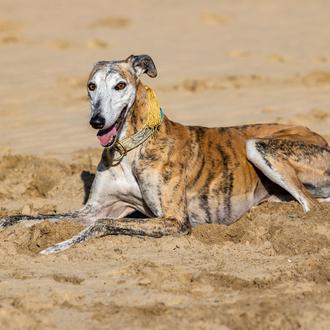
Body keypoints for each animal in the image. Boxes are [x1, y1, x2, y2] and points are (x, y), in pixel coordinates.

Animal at [0, 55, 330, 254]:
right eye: (91, 86)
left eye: (120, 85)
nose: (97, 121)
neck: (130, 149)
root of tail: (320, 138)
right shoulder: (95, 208)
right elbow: (27, 216)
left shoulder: (174, 220)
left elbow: (101, 224)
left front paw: (55, 247)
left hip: (257, 146)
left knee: (312, 206)